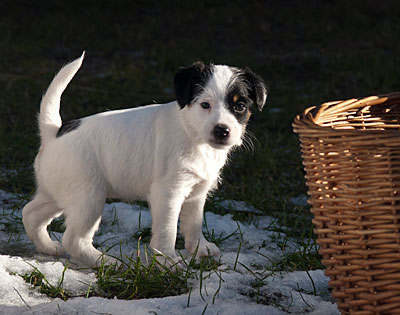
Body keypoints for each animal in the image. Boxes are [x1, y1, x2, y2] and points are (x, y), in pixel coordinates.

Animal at [21, 53, 268, 268]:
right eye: (204, 105)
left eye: (240, 106)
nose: (222, 130)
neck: (191, 132)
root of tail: (53, 133)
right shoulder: (168, 193)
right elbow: (167, 231)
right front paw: (168, 262)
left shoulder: (197, 192)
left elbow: (194, 222)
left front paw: (200, 248)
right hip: (88, 198)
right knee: (74, 239)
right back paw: (107, 263)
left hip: (59, 193)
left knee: (30, 213)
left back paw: (47, 247)